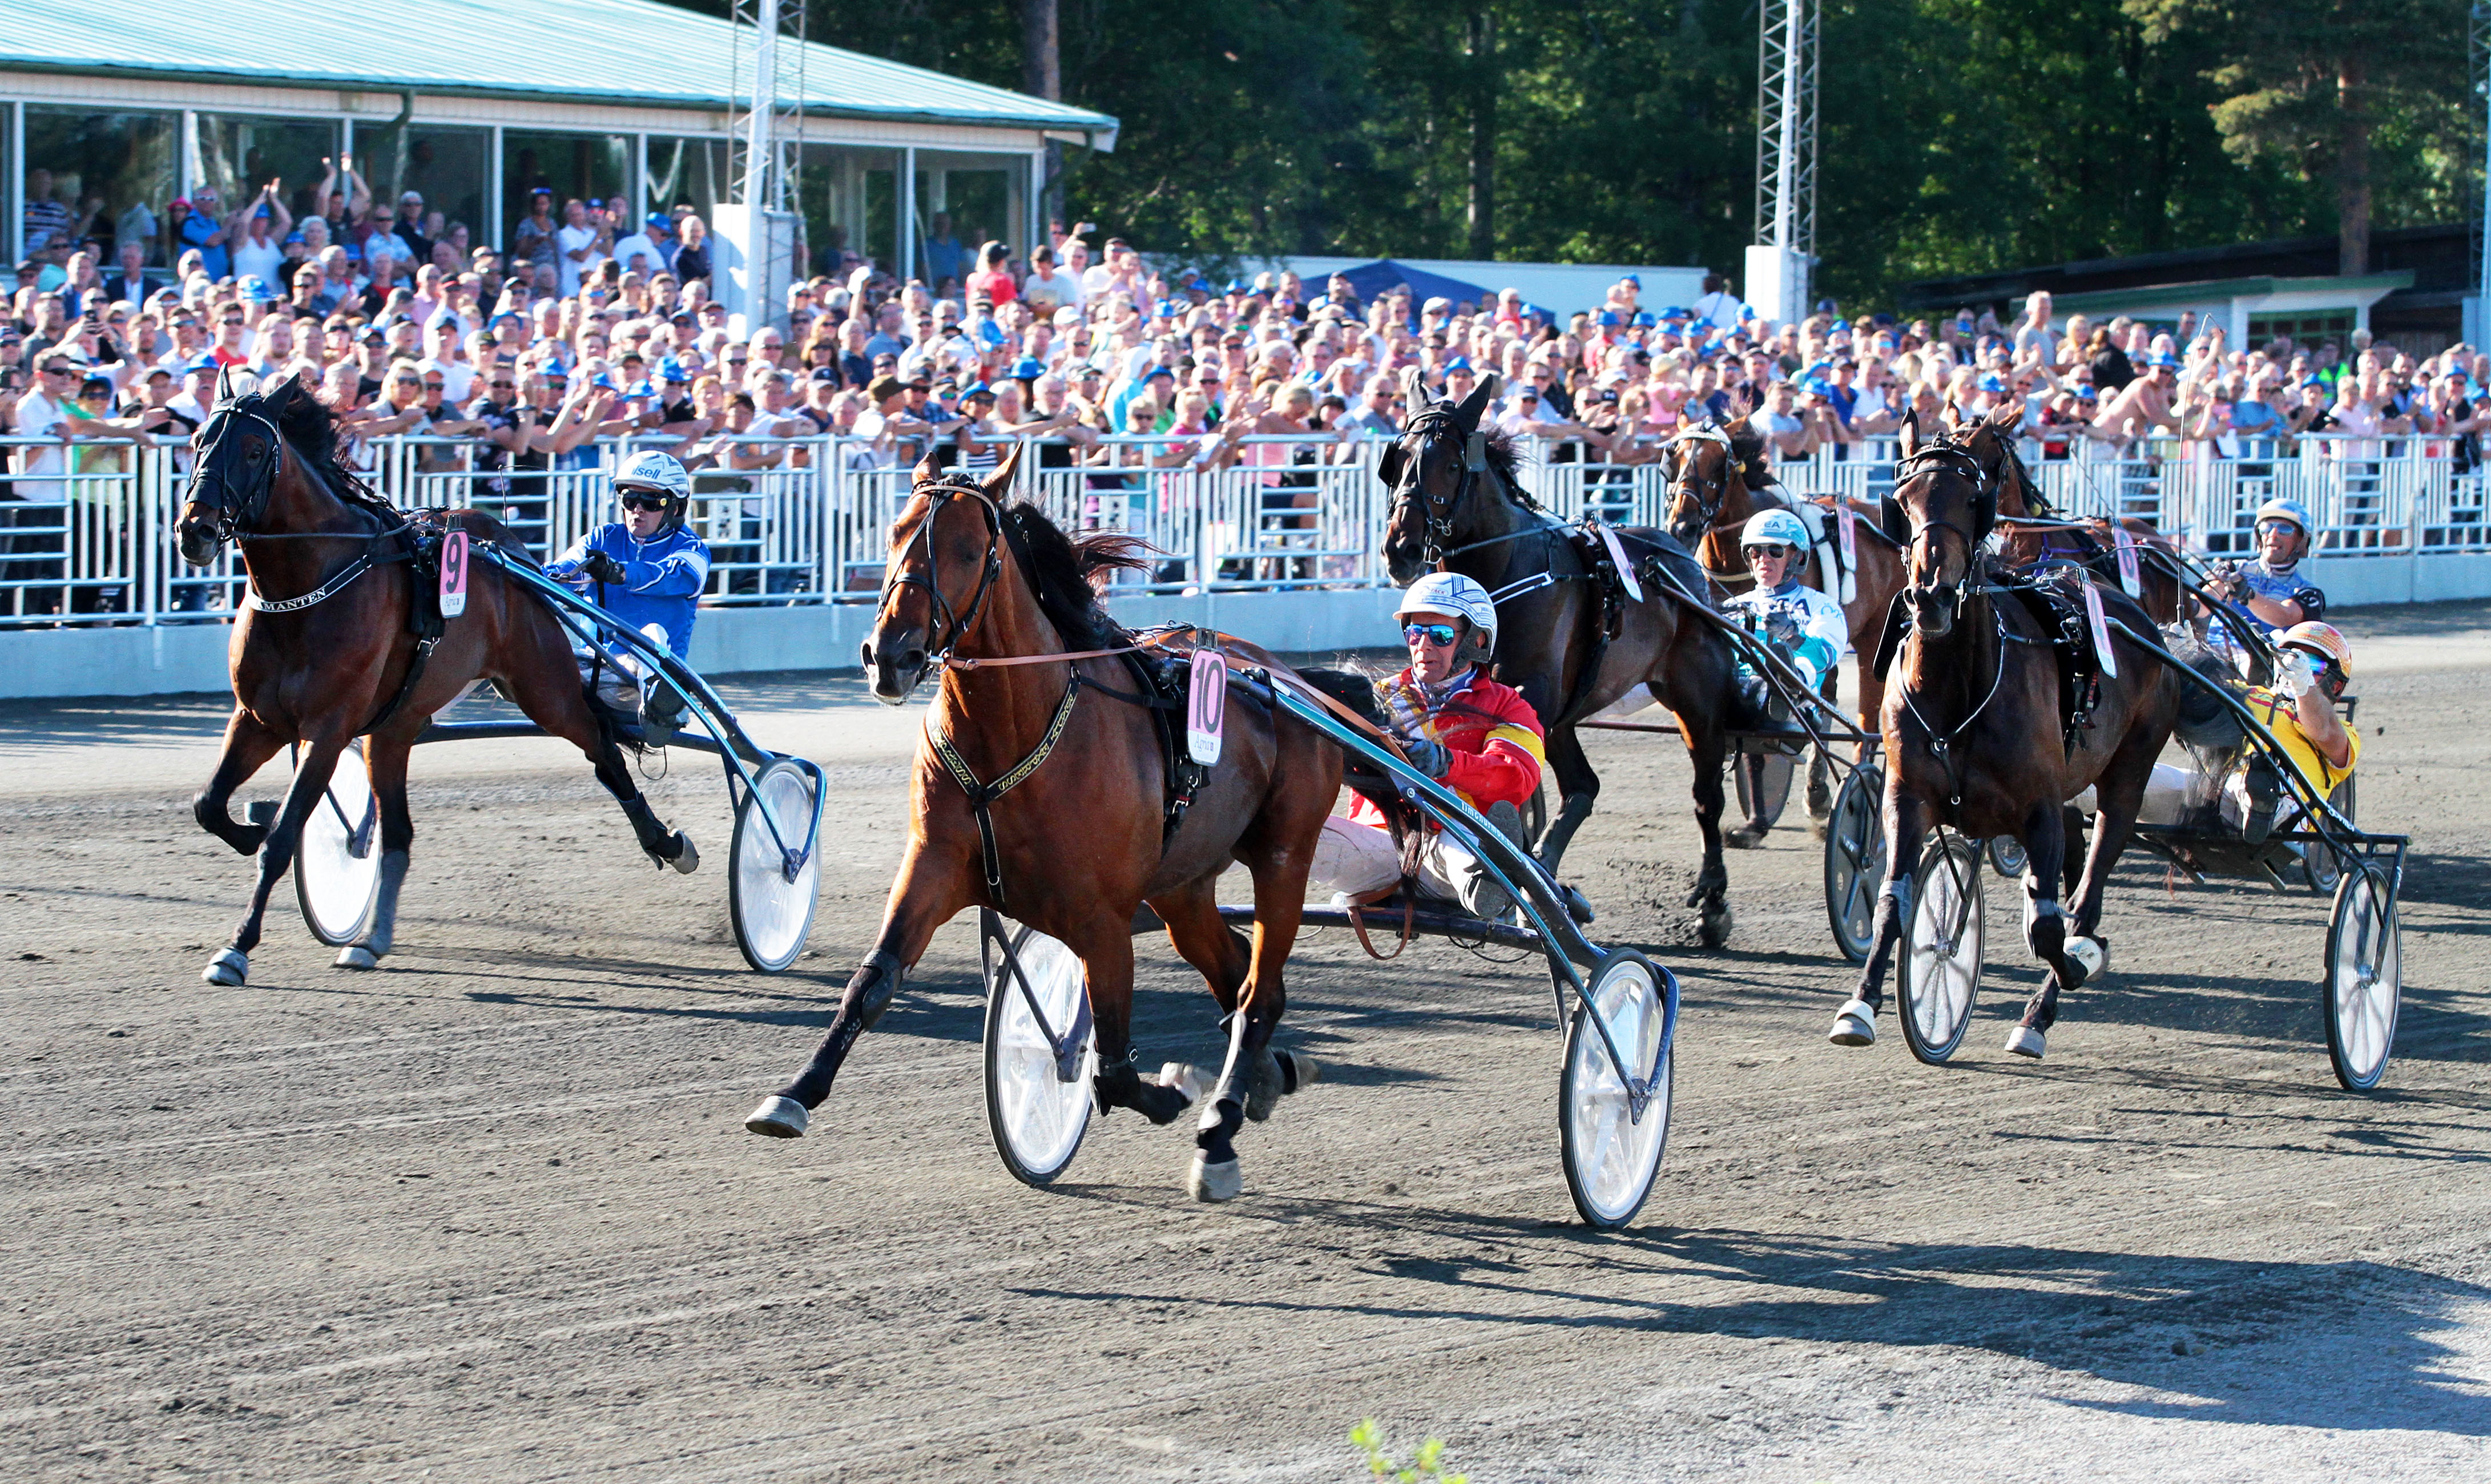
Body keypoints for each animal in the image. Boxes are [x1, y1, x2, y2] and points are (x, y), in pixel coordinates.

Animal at [177, 373, 697, 988]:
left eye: (256, 450)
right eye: (198, 441)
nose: (195, 529)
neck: (309, 585)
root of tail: (512, 552)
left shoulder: (325, 730)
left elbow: (281, 839)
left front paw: (237, 946)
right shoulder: (257, 719)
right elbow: (208, 804)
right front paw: (251, 832)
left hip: (543, 686)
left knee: (603, 749)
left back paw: (665, 837)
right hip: (394, 727)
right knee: (398, 832)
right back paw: (370, 940)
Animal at [742, 448, 1344, 1202]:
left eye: (969, 550)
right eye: (895, 533)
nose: (890, 655)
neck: (1010, 731)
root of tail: (1288, 679)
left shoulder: (1099, 917)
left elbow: (1109, 1066)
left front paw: (1171, 1092)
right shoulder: (932, 863)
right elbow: (872, 980)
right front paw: (793, 1093)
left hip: (1284, 855)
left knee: (1259, 991)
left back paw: (1218, 1131)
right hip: (1181, 886)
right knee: (1236, 972)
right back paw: (1267, 1076)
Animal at [1378, 369, 1745, 945]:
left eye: (1453, 465)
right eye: (1400, 459)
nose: (1402, 549)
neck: (1500, 571)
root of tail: (1682, 558)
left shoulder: (1531, 698)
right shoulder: (1528, 707)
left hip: (1696, 699)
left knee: (1707, 797)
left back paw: (1711, 901)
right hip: (1569, 717)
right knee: (1583, 788)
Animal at [1660, 415, 1910, 838]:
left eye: (1718, 464)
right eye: (1672, 460)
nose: (1682, 527)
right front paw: (1756, 819)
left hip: (1874, 639)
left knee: (1864, 720)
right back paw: (1817, 791)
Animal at [1832, 410, 2182, 1058]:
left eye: (1974, 499)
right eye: (1902, 500)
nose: (1931, 594)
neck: (1956, 688)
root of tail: (2134, 614)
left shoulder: (2037, 807)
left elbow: (2047, 926)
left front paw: (2070, 968)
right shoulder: (1906, 796)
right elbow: (1893, 903)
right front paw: (1860, 1006)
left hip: (2130, 771)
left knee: (2089, 886)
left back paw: (2049, 998)